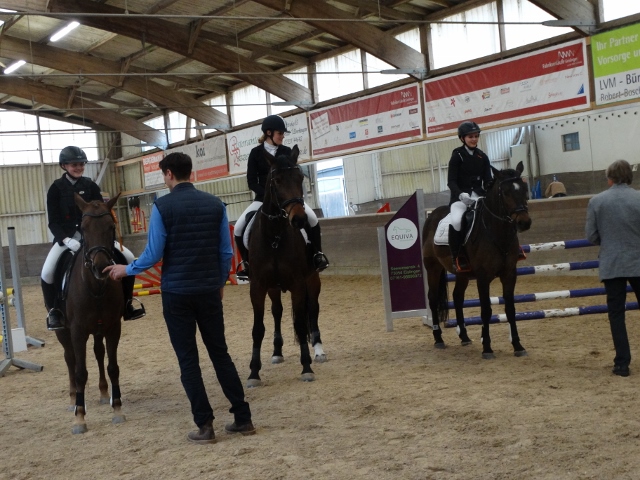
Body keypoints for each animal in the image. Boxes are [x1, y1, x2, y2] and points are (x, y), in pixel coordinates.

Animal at [54, 192, 126, 433]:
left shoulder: (113, 327)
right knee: (70, 358)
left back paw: (104, 393)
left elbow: (113, 367)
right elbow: (80, 372)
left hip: (98, 329)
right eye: (83, 228)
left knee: (98, 352)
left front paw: (117, 409)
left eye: (111, 227)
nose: (101, 267)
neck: (96, 287)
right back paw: (72, 399)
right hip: (63, 332)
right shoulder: (77, 331)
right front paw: (79, 417)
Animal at [245, 144, 326, 387]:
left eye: (300, 178)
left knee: (313, 310)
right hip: (273, 288)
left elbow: (300, 325)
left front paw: (306, 367)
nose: (299, 219)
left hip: (313, 279)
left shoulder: (299, 284)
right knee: (277, 312)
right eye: (277, 180)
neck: (274, 236)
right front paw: (254, 373)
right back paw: (277, 353)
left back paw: (318, 351)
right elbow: (258, 329)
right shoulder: (258, 287)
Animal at [421, 161, 532, 359]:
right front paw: (487, 347)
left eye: (525, 189)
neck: (497, 231)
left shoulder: (509, 274)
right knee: (433, 299)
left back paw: (464, 337)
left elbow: (510, 309)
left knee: (457, 297)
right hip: (433, 268)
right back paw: (438, 338)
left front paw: (518, 346)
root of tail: (432, 215)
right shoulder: (483, 276)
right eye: (505, 192)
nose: (524, 222)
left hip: (461, 273)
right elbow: (486, 310)